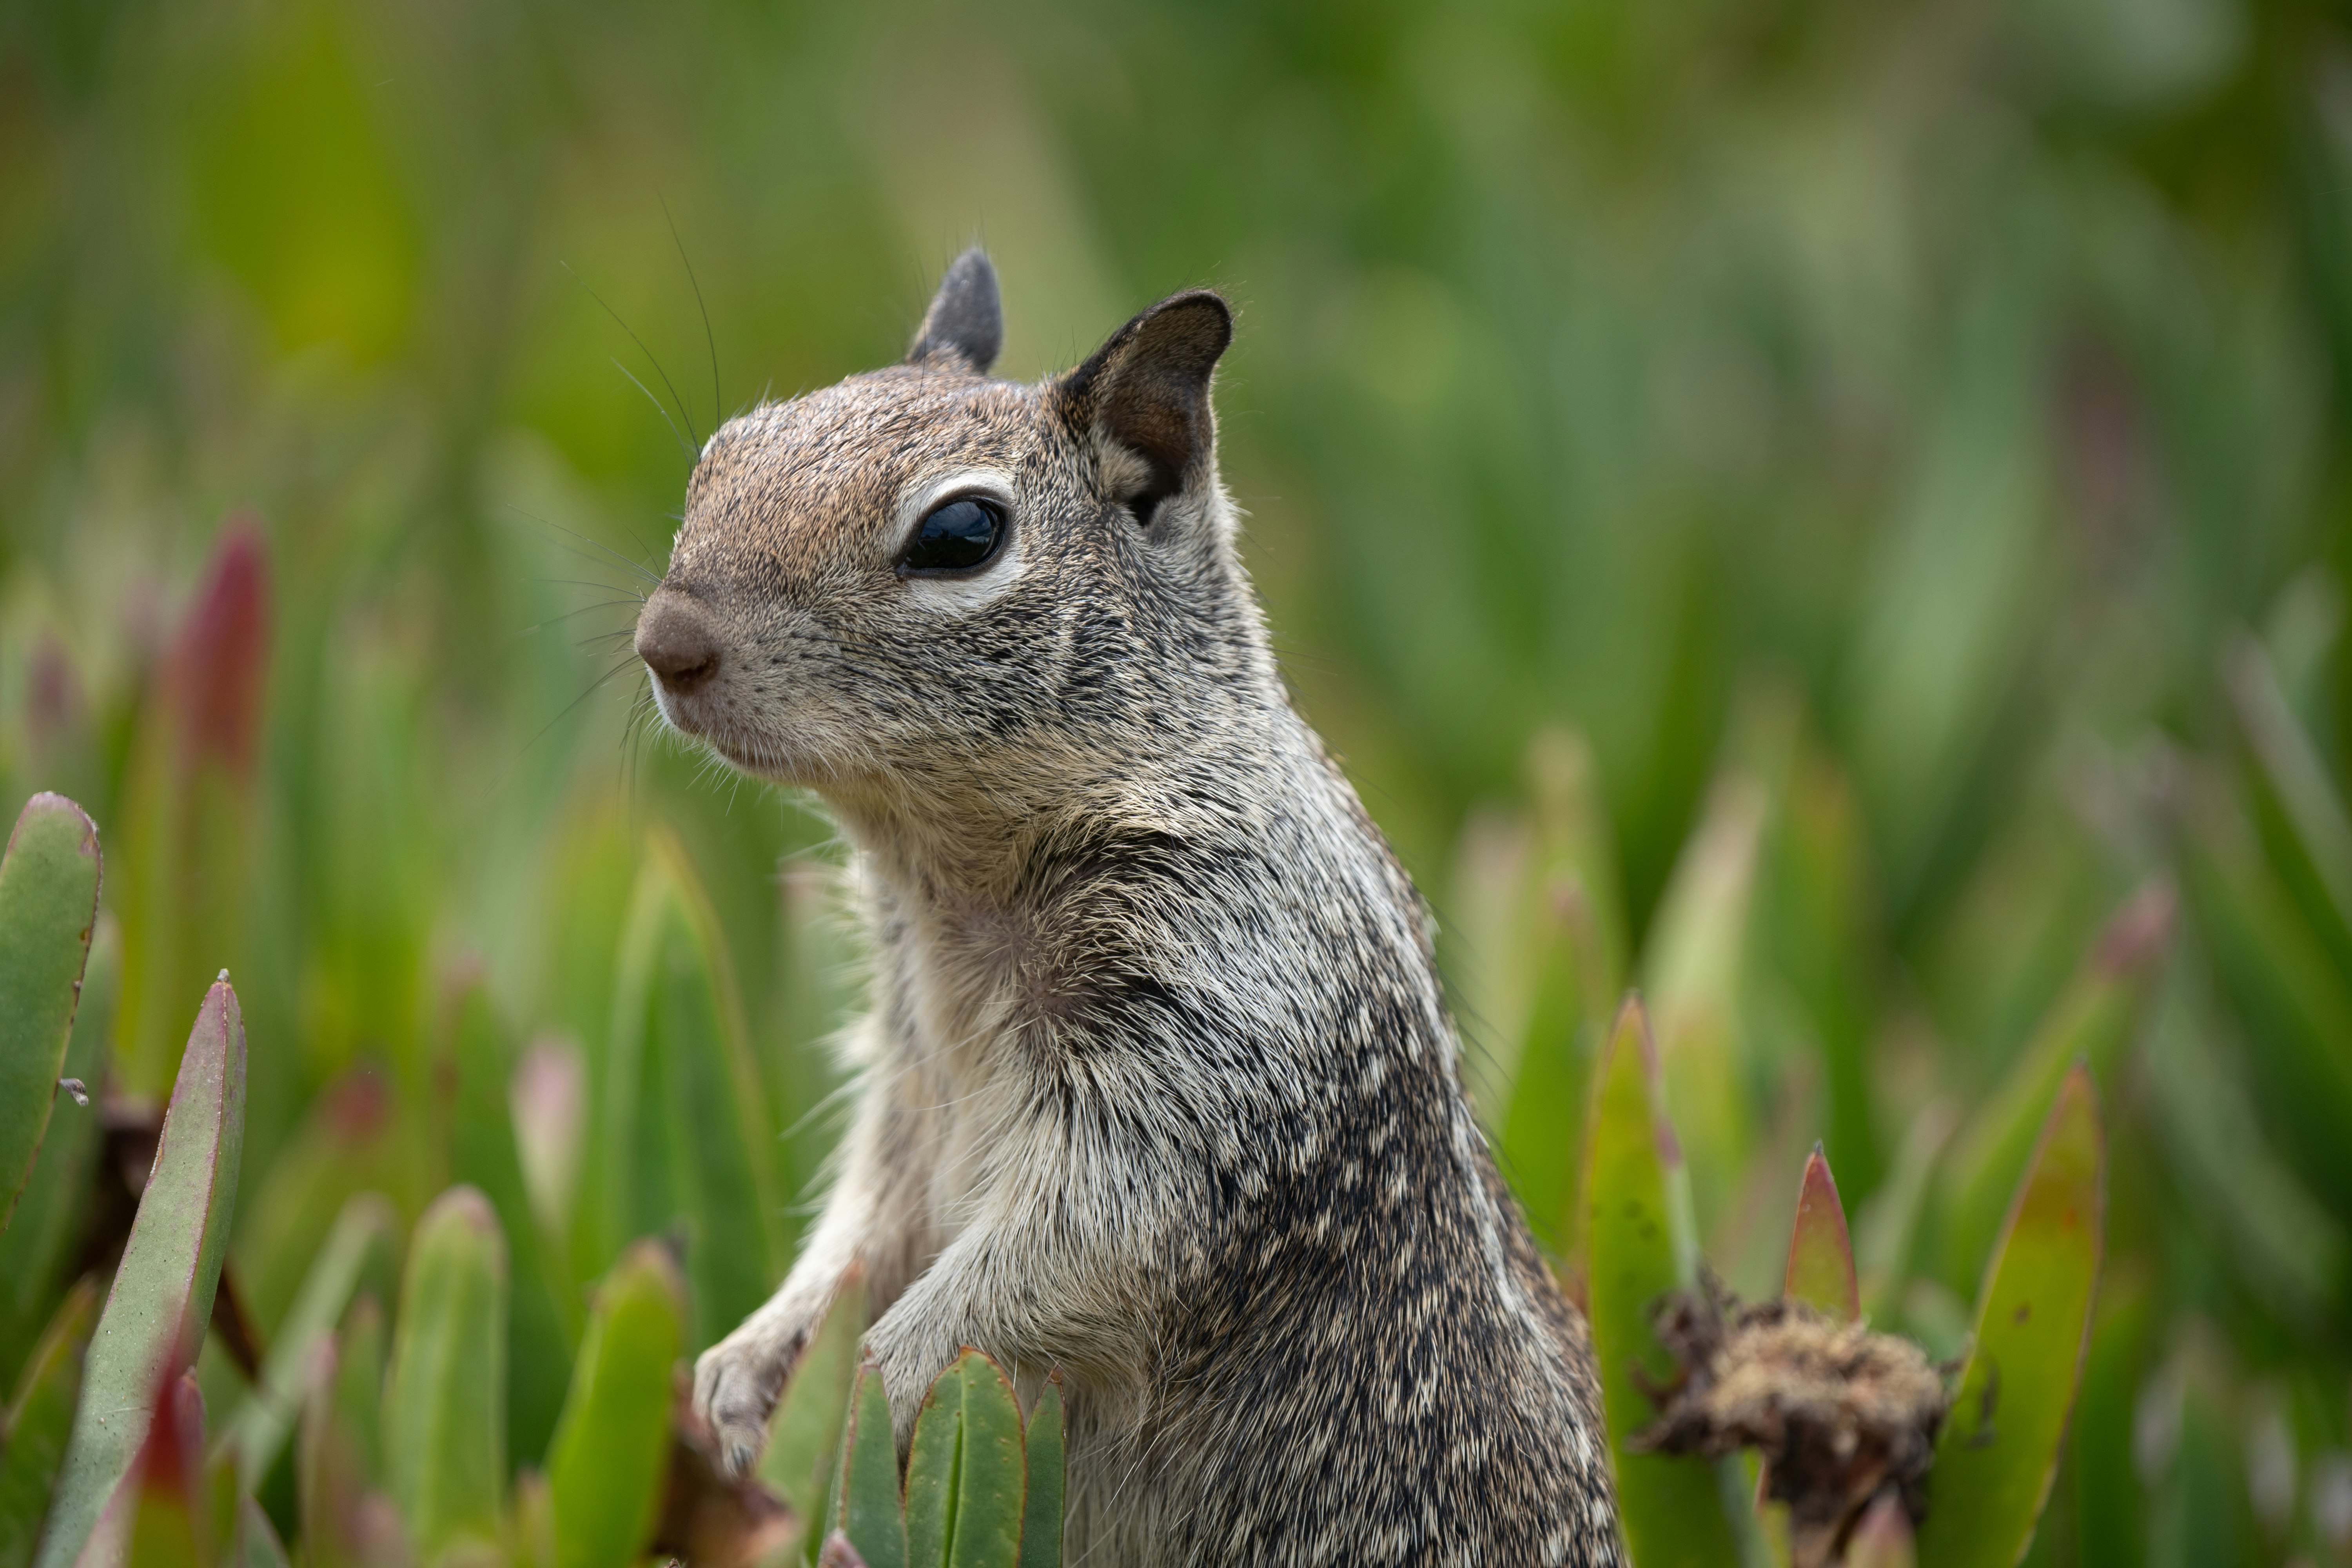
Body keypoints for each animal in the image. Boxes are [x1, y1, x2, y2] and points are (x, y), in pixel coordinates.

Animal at [640, 251, 1637, 1561]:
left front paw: (872, 1377)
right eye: (719, 453)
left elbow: (1074, 1245)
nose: (664, 641)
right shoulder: (911, 1081)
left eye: (961, 534)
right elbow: (866, 1217)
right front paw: (744, 1369)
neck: (951, 880)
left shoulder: (1215, 1036)